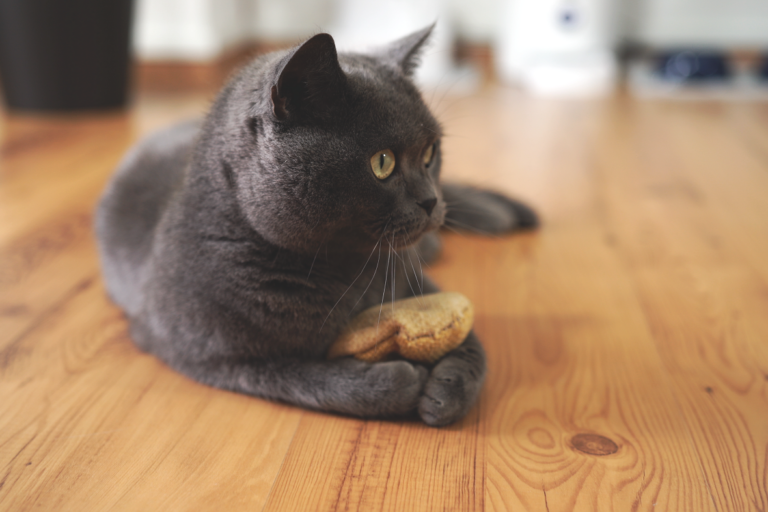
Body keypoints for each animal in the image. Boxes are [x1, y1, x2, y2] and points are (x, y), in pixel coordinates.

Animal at [96, 26, 536, 426]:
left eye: (430, 153)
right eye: (382, 162)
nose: (429, 200)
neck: (348, 272)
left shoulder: (415, 281)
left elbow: (475, 345)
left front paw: (447, 391)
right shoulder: (201, 351)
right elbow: (298, 376)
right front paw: (395, 383)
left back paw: (500, 213)